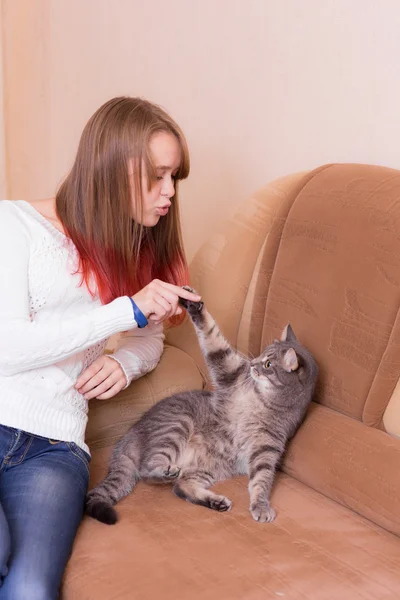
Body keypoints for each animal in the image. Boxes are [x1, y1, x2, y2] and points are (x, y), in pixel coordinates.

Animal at [86, 290, 318, 524]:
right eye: (262, 354)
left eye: (268, 364)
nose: (252, 364)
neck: (263, 397)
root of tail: (127, 439)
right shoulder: (230, 371)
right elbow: (211, 335)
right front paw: (193, 304)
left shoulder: (267, 447)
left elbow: (262, 478)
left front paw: (260, 504)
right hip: (177, 424)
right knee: (148, 469)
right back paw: (166, 471)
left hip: (208, 466)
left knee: (178, 486)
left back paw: (213, 501)